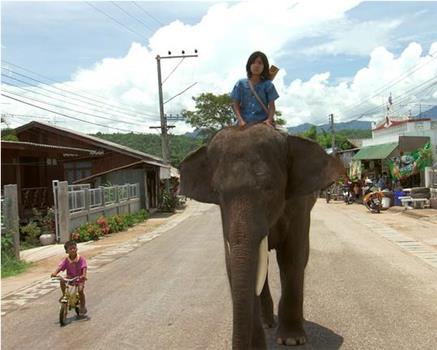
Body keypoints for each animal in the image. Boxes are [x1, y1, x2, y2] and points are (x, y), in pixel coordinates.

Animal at [179, 124, 342, 348]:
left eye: (269, 188)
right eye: (217, 192)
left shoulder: (298, 206)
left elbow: (291, 258)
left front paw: (292, 340)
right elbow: (232, 265)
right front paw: (257, 345)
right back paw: (267, 322)